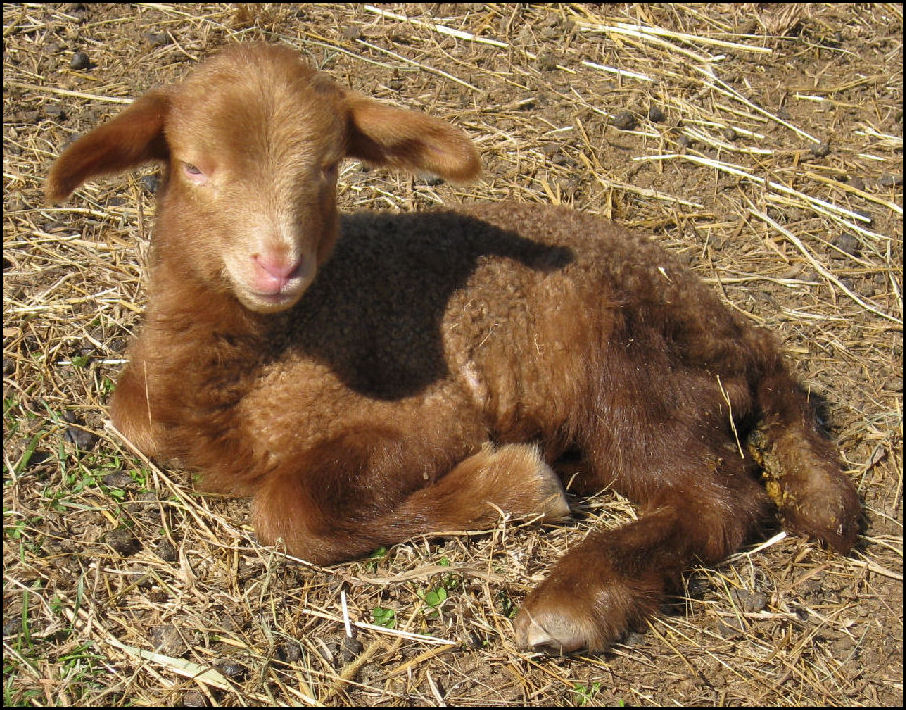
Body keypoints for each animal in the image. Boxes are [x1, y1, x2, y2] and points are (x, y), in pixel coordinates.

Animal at [46, 43, 861, 654]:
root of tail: (745, 337)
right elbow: (132, 417)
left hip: (627, 368)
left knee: (720, 499)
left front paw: (512, 486)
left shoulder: (428, 411)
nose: (278, 265)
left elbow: (288, 510)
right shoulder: (147, 403)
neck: (259, 360)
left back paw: (573, 600)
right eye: (193, 166)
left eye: (328, 168)